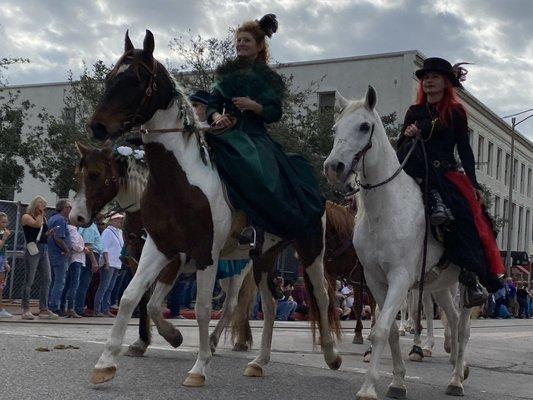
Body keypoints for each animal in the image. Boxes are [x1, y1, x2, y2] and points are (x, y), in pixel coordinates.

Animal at [324, 86, 470, 398]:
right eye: (334, 128)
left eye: (364, 126)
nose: (333, 167)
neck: (386, 209)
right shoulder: (375, 279)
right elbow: (387, 328)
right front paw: (397, 381)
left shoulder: (400, 277)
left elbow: (381, 330)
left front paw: (368, 387)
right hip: (441, 284)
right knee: (451, 319)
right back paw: (455, 365)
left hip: (465, 283)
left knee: (463, 327)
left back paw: (456, 378)